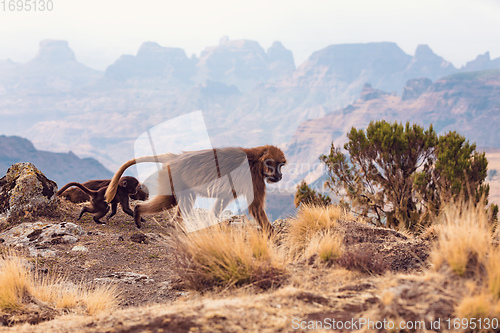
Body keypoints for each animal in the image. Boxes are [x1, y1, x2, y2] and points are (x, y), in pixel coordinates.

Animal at [105, 145, 286, 233]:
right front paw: (271, 232)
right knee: (170, 199)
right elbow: (256, 208)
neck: (256, 160)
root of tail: (176, 157)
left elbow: (223, 199)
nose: (281, 176)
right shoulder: (254, 179)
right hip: (172, 176)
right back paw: (138, 212)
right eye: (277, 165)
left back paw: (175, 224)